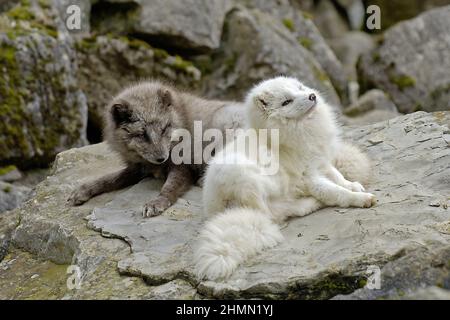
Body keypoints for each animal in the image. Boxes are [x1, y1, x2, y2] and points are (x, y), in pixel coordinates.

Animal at [195, 77, 374, 280]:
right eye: (286, 102)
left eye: (300, 88)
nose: (312, 96)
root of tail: (215, 210)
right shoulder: (310, 178)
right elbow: (336, 192)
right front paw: (361, 199)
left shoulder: (320, 161)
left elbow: (338, 176)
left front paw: (353, 185)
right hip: (244, 176)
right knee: (275, 215)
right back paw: (312, 202)